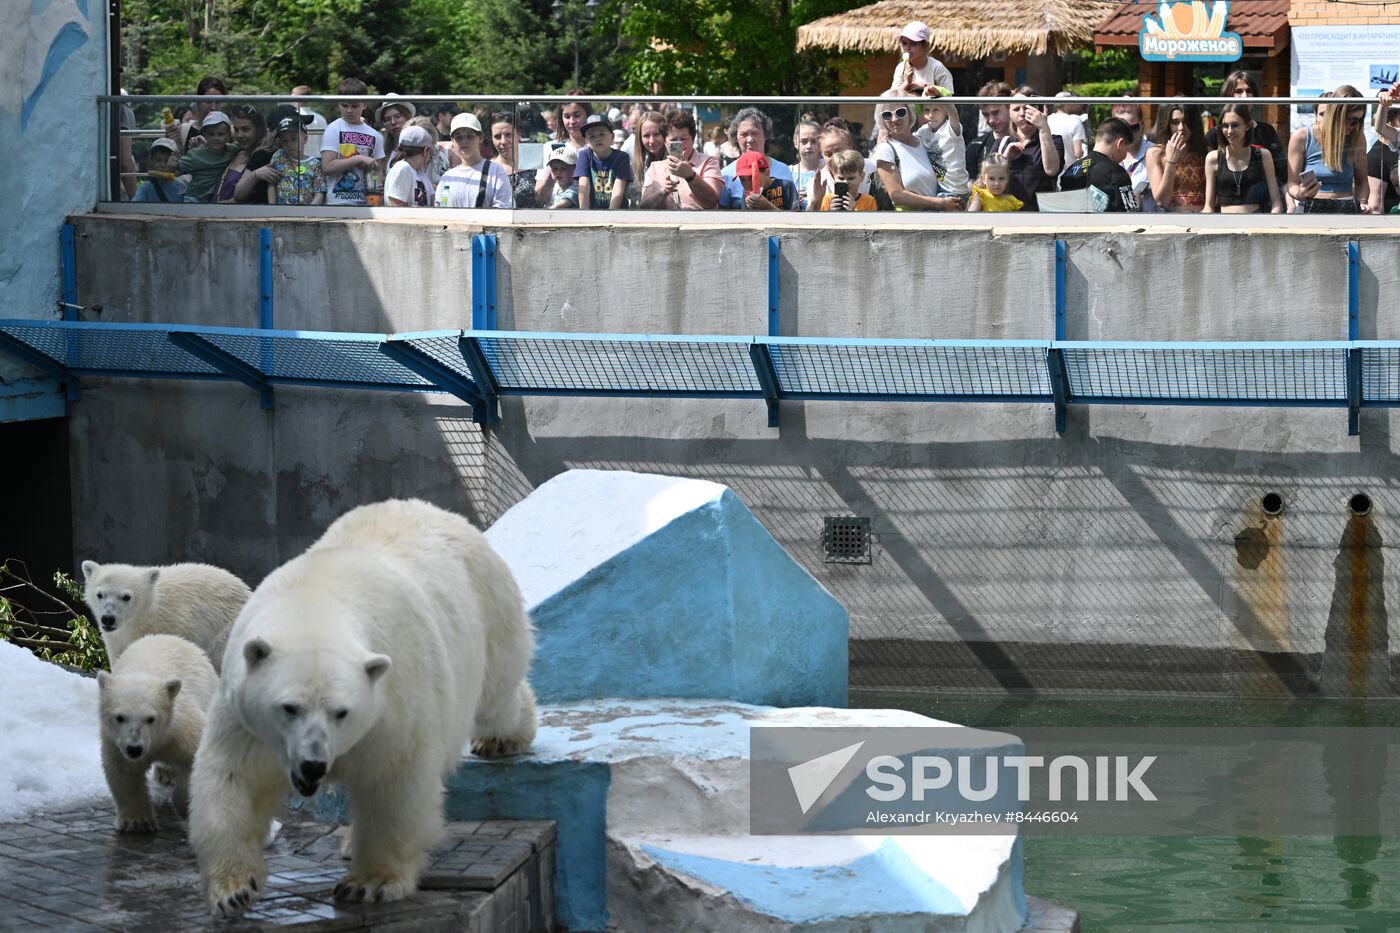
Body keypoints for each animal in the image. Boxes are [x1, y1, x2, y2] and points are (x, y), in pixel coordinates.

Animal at [97, 633, 218, 829]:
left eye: (150, 718)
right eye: (120, 717)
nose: (135, 748)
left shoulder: (183, 728)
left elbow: (194, 761)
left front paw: (186, 806)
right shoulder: (115, 740)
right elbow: (123, 772)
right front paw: (137, 821)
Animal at [187, 498, 534, 913]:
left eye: (341, 712)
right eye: (289, 707)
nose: (313, 765)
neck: (315, 600)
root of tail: (441, 512)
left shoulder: (393, 697)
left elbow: (393, 780)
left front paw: (370, 883)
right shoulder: (245, 717)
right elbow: (235, 777)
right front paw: (234, 888)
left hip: (487, 611)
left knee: (496, 695)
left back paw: (504, 738)